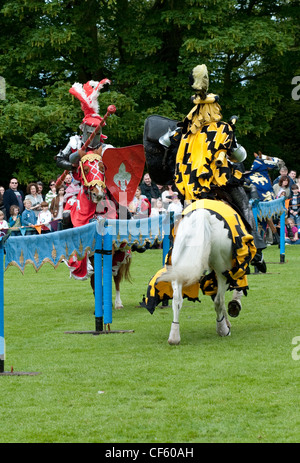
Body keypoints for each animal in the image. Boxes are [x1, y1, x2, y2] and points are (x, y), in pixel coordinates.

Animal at [159, 207, 246, 344]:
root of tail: (204, 215)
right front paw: (233, 310)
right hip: (222, 271)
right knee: (219, 300)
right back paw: (222, 329)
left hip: (178, 268)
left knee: (177, 300)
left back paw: (174, 336)